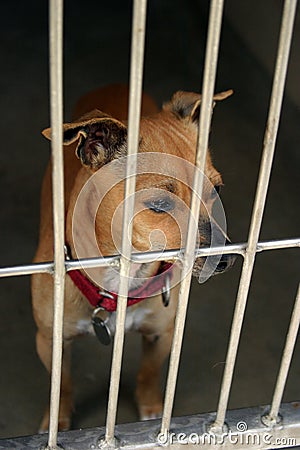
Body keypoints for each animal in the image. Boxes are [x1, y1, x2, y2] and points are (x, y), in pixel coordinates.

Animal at [32, 84, 234, 432]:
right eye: (158, 204)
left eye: (216, 190)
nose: (226, 259)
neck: (126, 273)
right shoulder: (49, 341)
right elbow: (62, 386)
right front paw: (56, 424)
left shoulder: (160, 334)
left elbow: (149, 374)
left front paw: (153, 411)